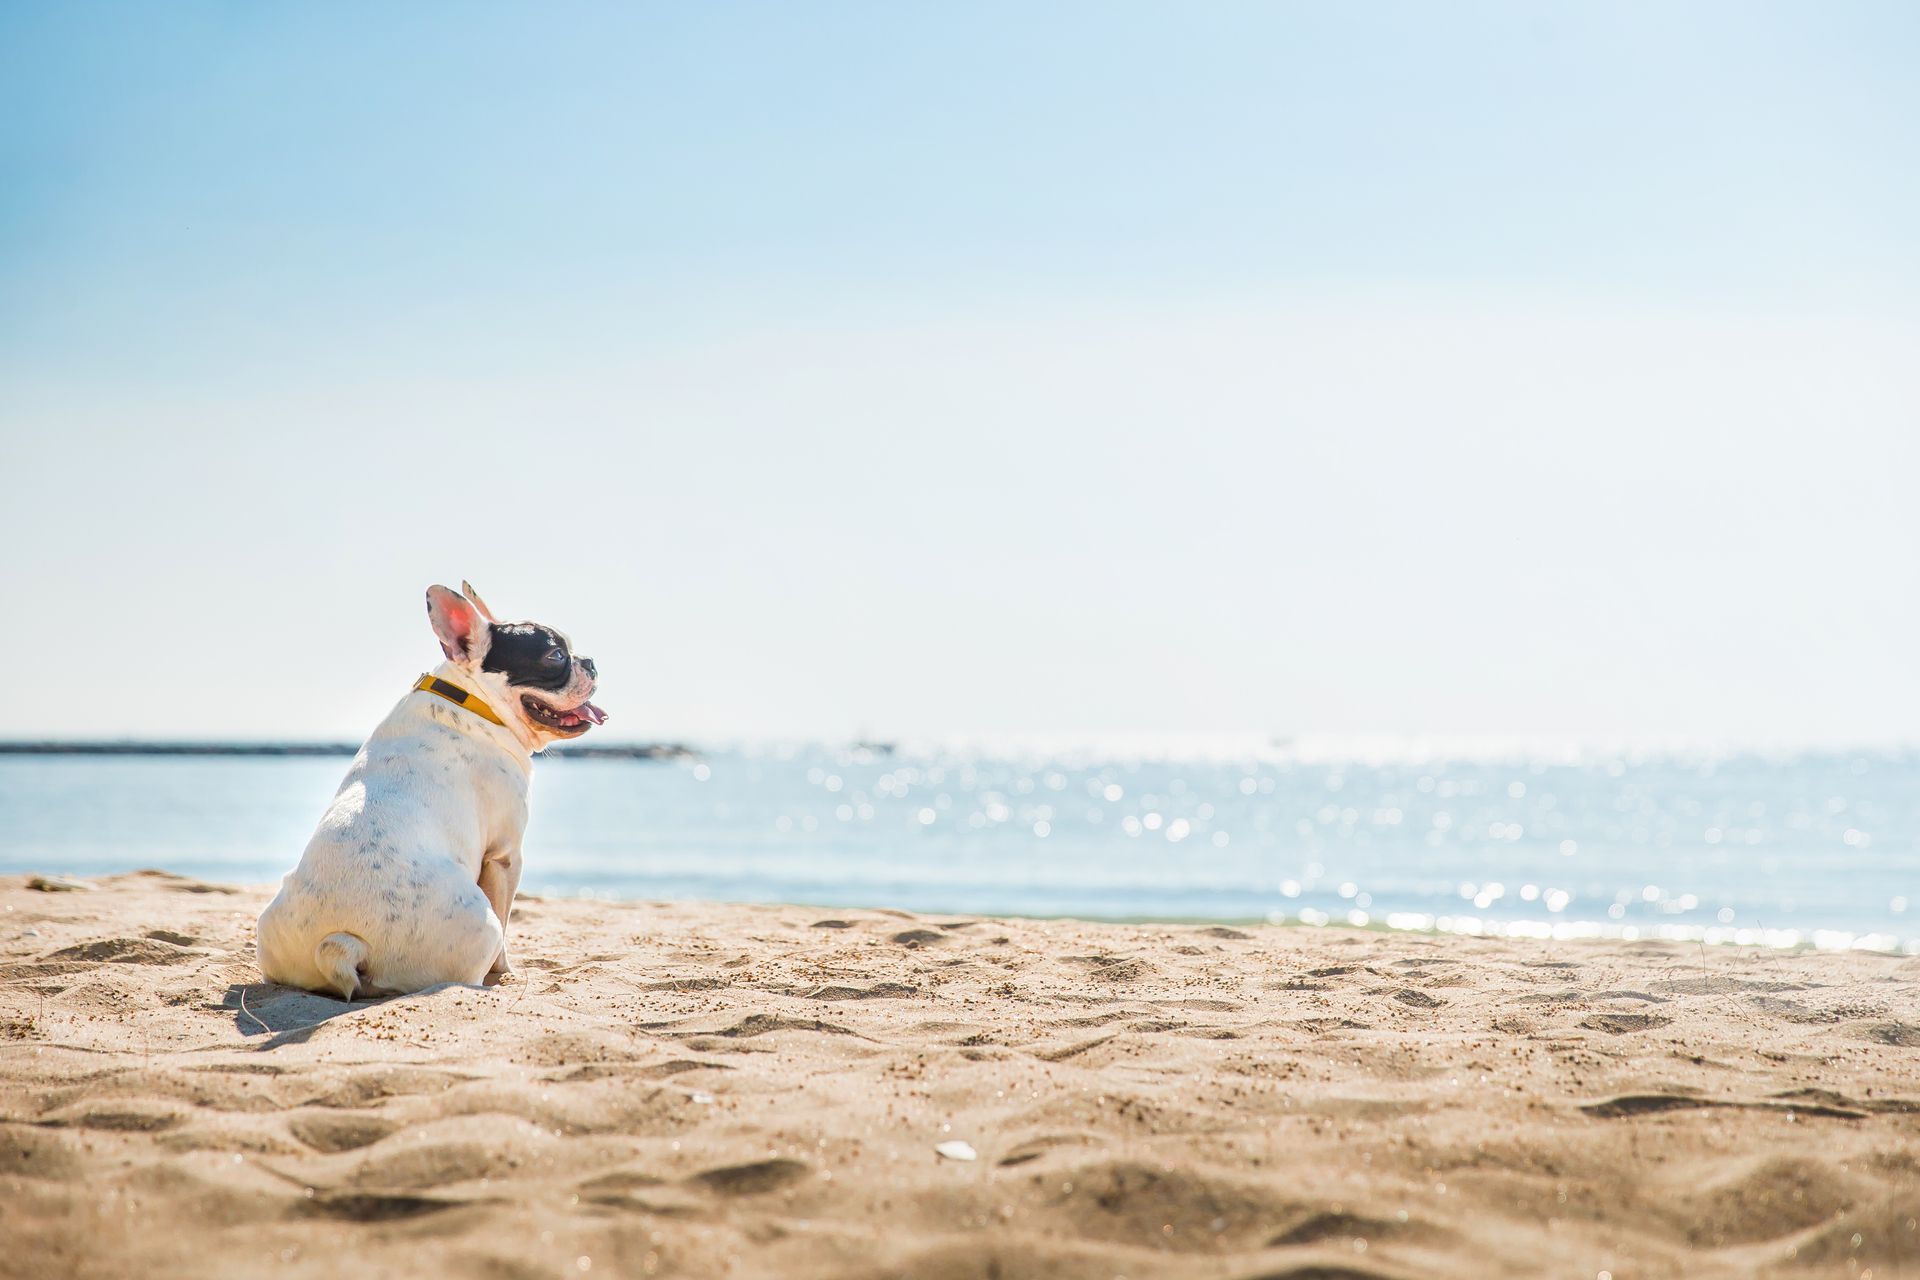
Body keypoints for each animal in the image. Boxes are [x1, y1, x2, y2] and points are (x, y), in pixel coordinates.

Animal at [253, 579, 599, 997]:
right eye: (555, 655)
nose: (590, 662)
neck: (474, 701)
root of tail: (342, 943)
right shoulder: (505, 855)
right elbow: (507, 922)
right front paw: (507, 971)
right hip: (479, 926)